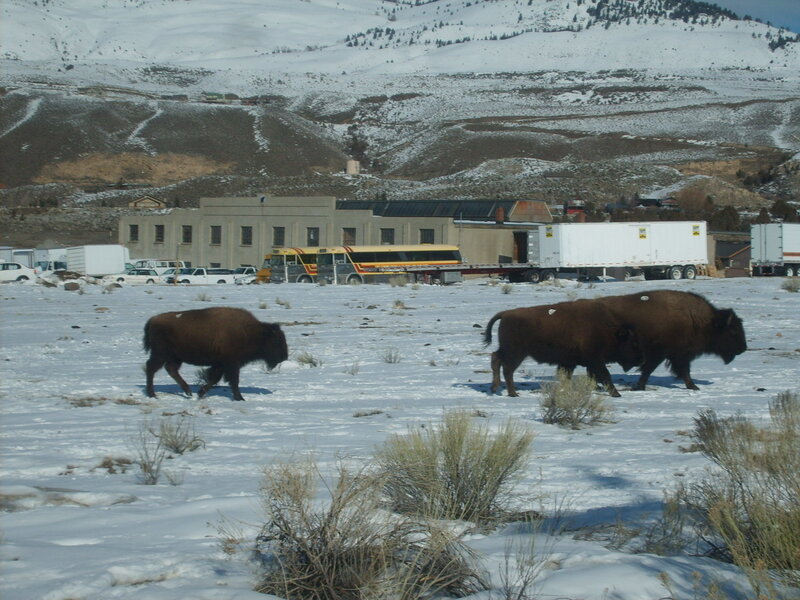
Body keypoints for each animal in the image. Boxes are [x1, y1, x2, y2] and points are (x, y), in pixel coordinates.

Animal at [143, 306, 288, 401]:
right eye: (276, 341)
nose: (284, 356)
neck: (251, 333)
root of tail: (153, 319)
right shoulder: (232, 364)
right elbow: (233, 380)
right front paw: (240, 398)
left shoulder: (221, 364)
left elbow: (214, 379)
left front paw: (200, 393)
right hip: (161, 354)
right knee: (151, 368)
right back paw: (152, 394)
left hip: (175, 357)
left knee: (171, 369)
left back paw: (188, 392)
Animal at [483, 299, 643, 397]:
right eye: (633, 343)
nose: (641, 360)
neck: (608, 331)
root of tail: (505, 314)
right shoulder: (595, 360)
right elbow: (605, 374)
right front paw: (616, 394)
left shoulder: (570, 363)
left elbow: (570, 377)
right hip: (516, 353)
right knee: (507, 369)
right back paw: (512, 393)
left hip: (507, 350)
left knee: (496, 358)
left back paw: (494, 388)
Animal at [597, 290, 746, 390]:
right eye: (733, 331)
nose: (743, 348)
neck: (699, 321)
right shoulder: (662, 354)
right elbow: (649, 369)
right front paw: (639, 386)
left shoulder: (678, 355)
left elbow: (684, 371)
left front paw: (693, 387)